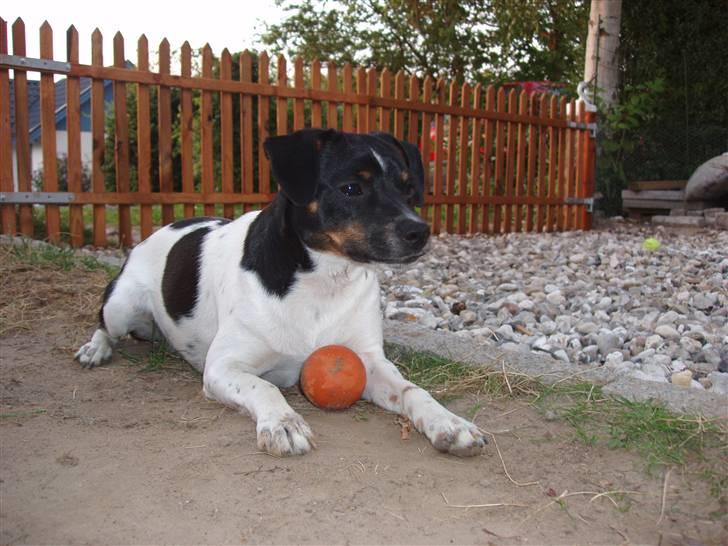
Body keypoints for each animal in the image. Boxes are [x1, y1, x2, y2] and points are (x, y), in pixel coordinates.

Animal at [74, 127, 486, 454]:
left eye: (407, 188)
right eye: (351, 188)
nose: (420, 231)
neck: (324, 281)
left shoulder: (371, 361)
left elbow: (413, 390)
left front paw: (449, 423)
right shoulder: (223, 367)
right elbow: (263, 388)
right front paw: (284, 424)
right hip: (121, 306)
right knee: (104, 323)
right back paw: (95, 349)